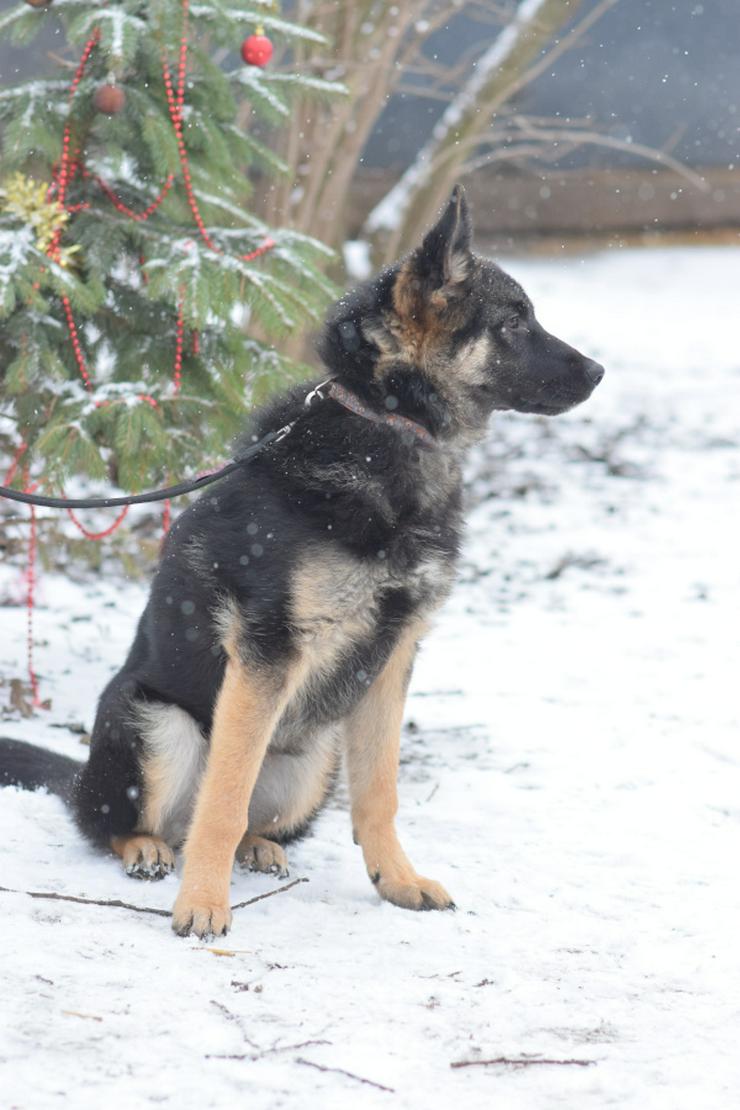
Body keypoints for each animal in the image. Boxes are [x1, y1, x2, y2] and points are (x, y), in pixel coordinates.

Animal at [0, 188, 603, 936]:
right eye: (514, 322)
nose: (599, 372)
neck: (383, 426)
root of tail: (83, 775)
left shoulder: (393, 656)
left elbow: (380, 792)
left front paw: (396, 880)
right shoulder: (268, 652)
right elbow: (223, 802)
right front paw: (203, 904)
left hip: (312, 759)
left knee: (248, 818)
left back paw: (260, 849)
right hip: (159, 726)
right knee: (126, 820)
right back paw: (145, 849)